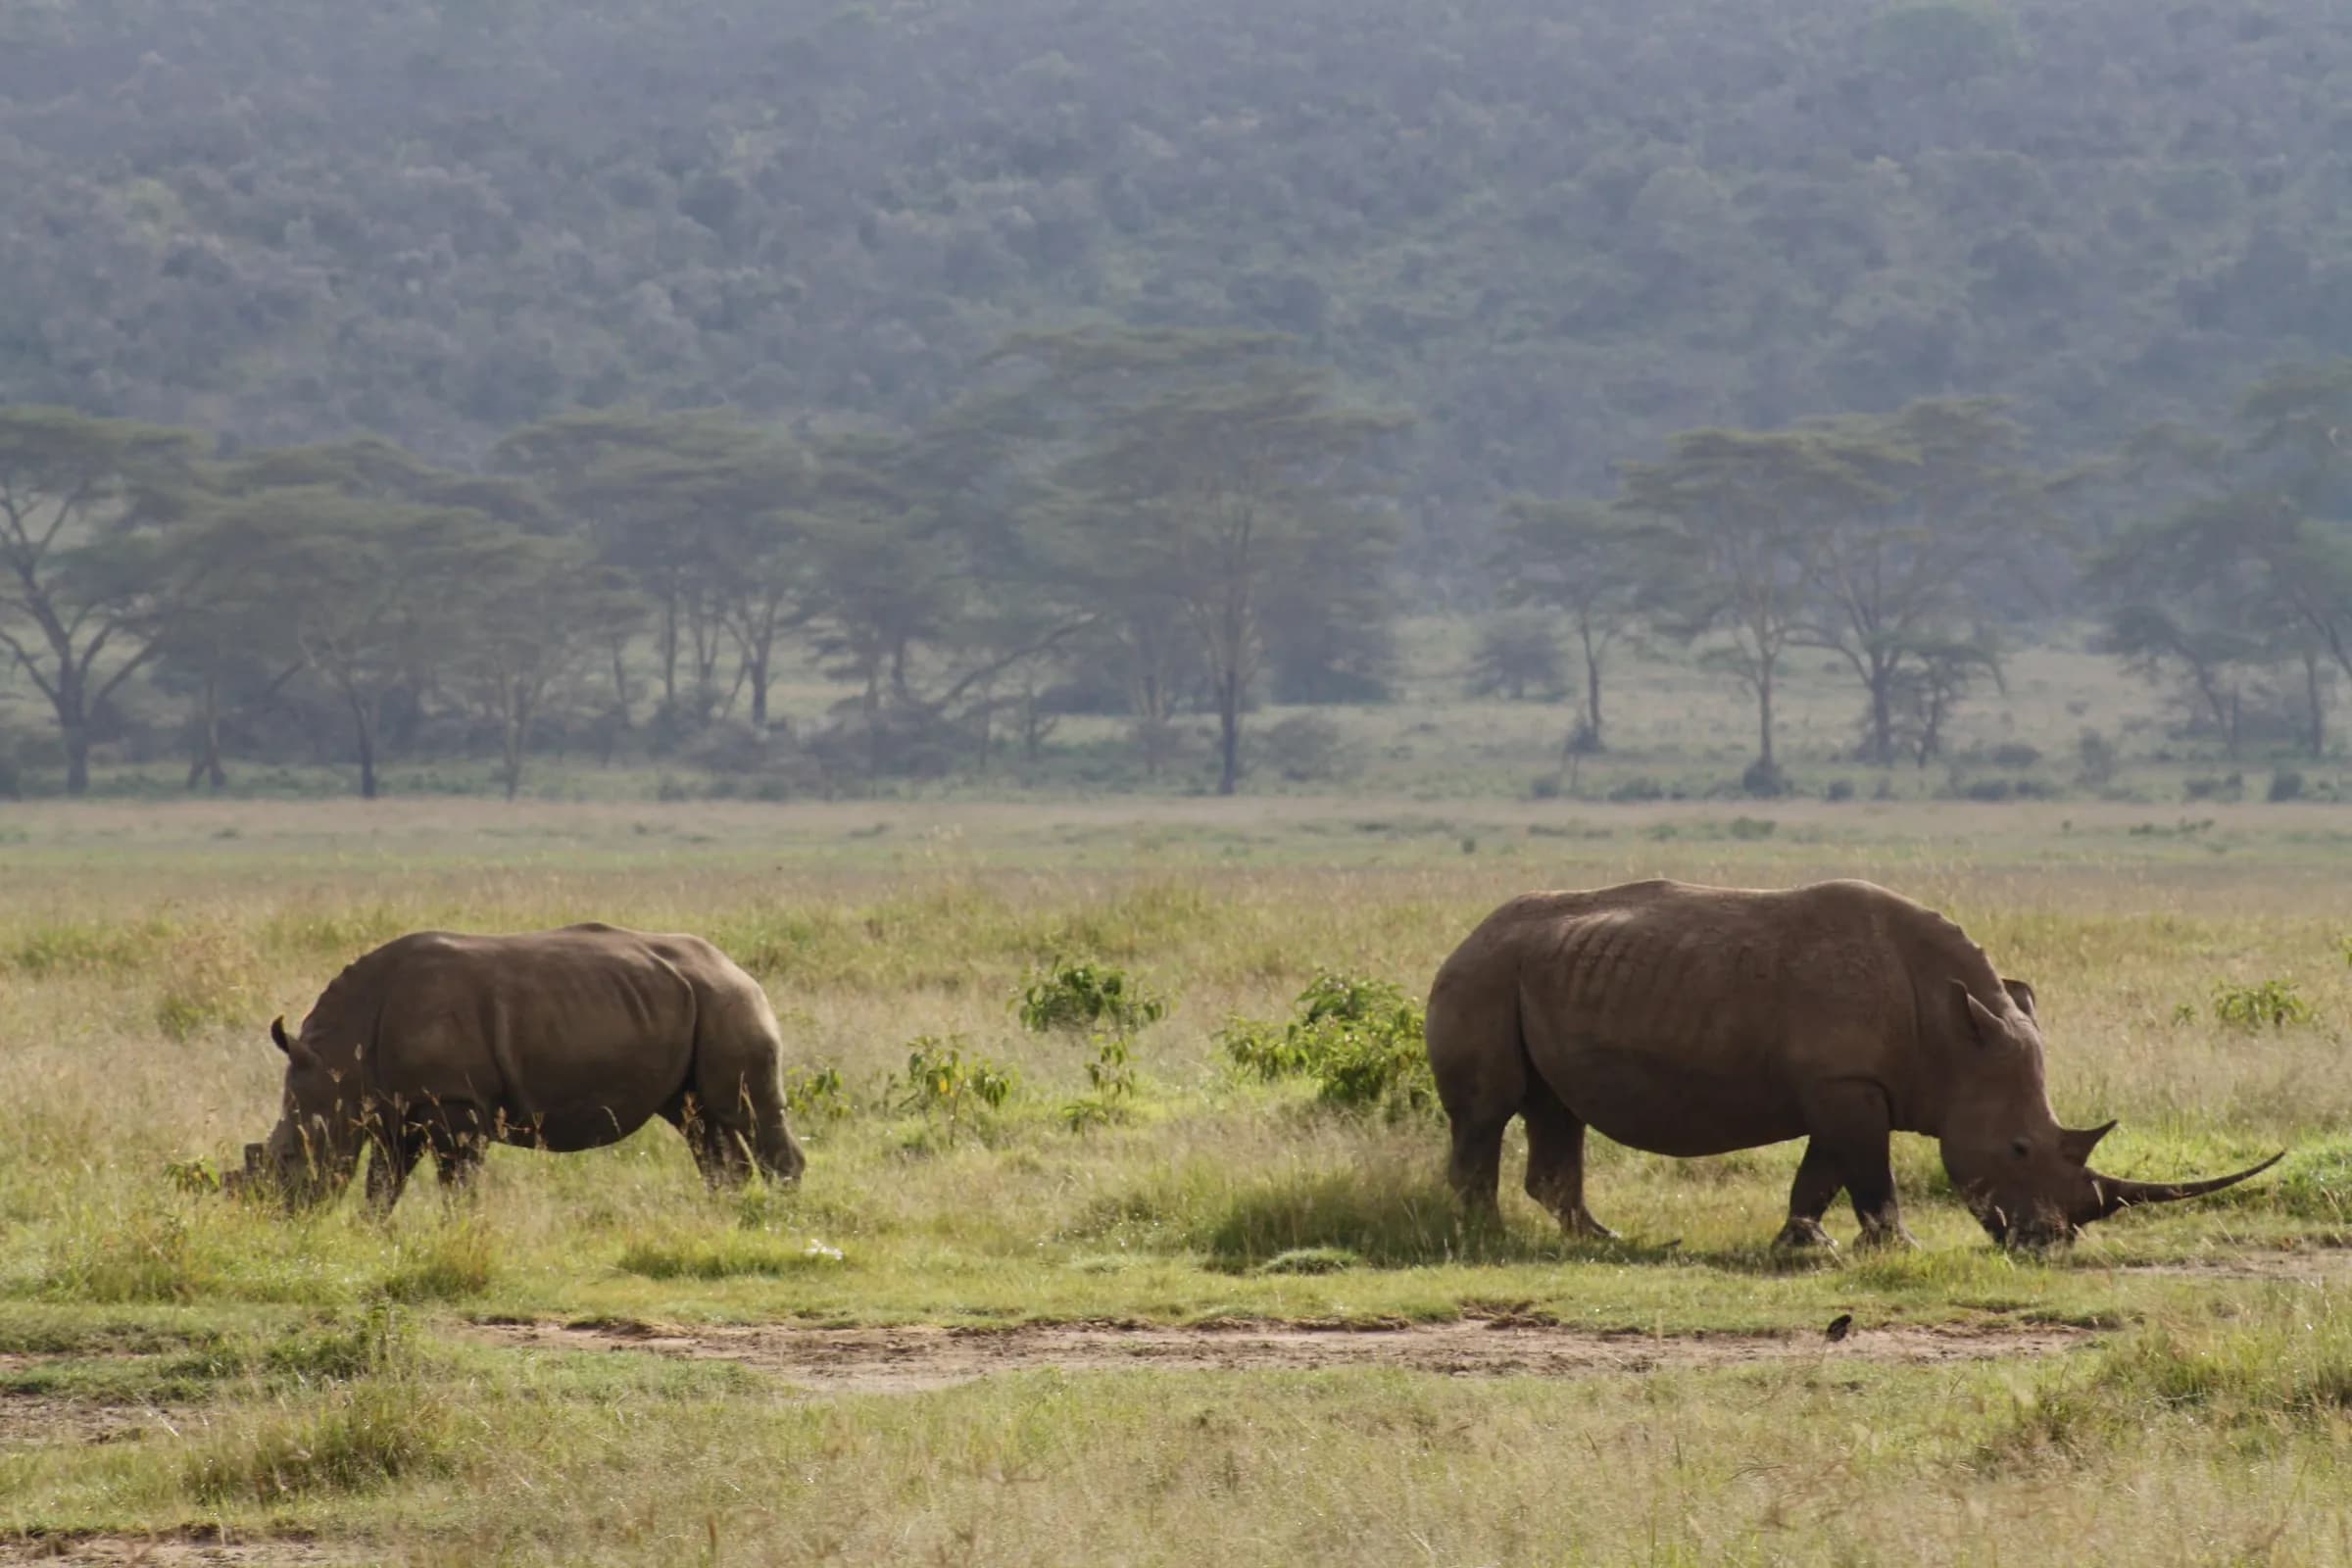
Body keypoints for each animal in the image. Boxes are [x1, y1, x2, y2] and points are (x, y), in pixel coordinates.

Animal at [231, 923, 806, 1211]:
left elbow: (457, 1186)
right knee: (701, 1122)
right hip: (696, 1003)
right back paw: (722, 1217)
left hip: (728, 1003)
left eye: (289, 1157)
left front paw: (457, 1232)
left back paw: (779, 1219)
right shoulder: (397, 1110)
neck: (338, 1063)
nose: (277, 1218)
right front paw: (373, 1236)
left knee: (747, 1113)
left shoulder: (455, 1103)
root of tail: (737, 967)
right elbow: (382, 1185)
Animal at [1425, 878, 2282, 1250]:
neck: (1954, 1033)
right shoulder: (1847, 1085)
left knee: (1556, 1108)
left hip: (1529, 973)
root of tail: (1465, 935)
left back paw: (1602, 1240)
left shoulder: (1844, 1085)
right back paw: (1484, 1237)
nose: (2049, 1243)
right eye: (2017, 1149)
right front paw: (1897, 1248)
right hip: (1482, 975)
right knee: (1487, 1112)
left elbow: (1823, 1173)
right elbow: (1870, 1174)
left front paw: (1805, 1246)